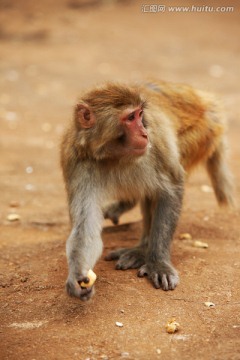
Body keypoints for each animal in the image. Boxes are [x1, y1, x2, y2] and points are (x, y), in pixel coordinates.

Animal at [61, 79, 233, 300]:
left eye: (140, 115)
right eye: (130, 118)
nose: (143, 133)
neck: (112, 155)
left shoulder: (156, 143)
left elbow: (171, 189)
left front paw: (158, 263)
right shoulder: (75, 159)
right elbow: (85, 225)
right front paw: (77, 276)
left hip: (203, 132)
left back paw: (144, 251)